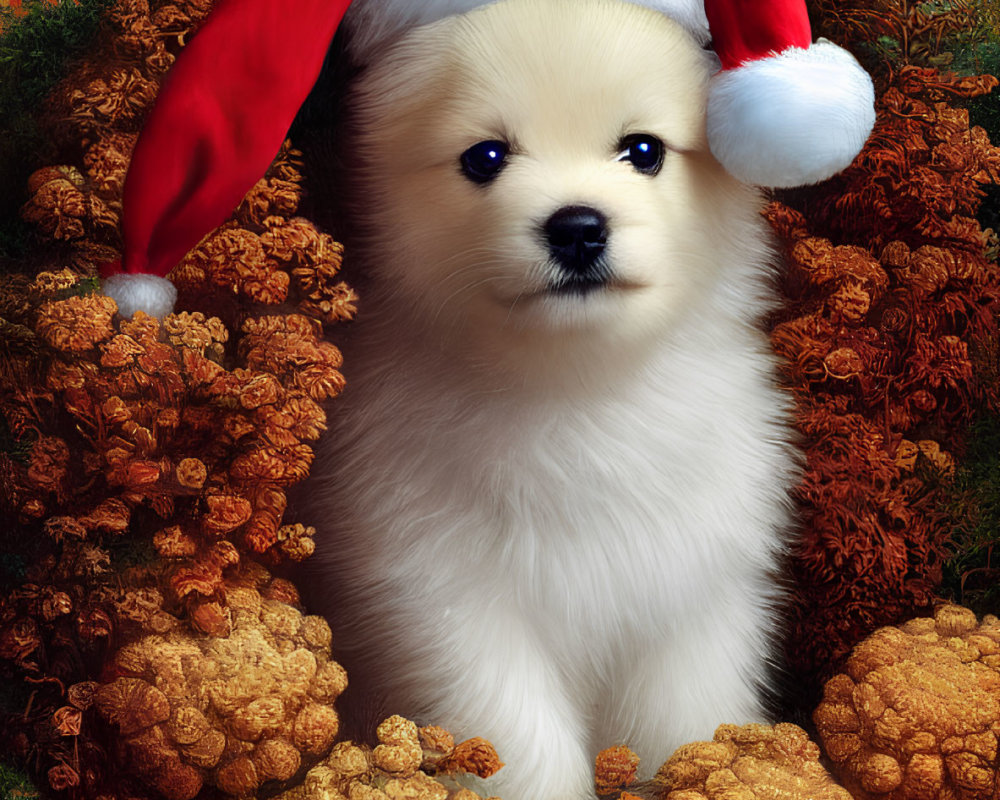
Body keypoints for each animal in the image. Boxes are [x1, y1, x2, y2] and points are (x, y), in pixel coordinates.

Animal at [300, 3, 800, 796]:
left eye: (644, 150)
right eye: (485, 157)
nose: (577, 226)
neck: (578, 393)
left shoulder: (693, 592)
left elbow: (684, 719)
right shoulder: (447, 604)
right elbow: (518, 739)